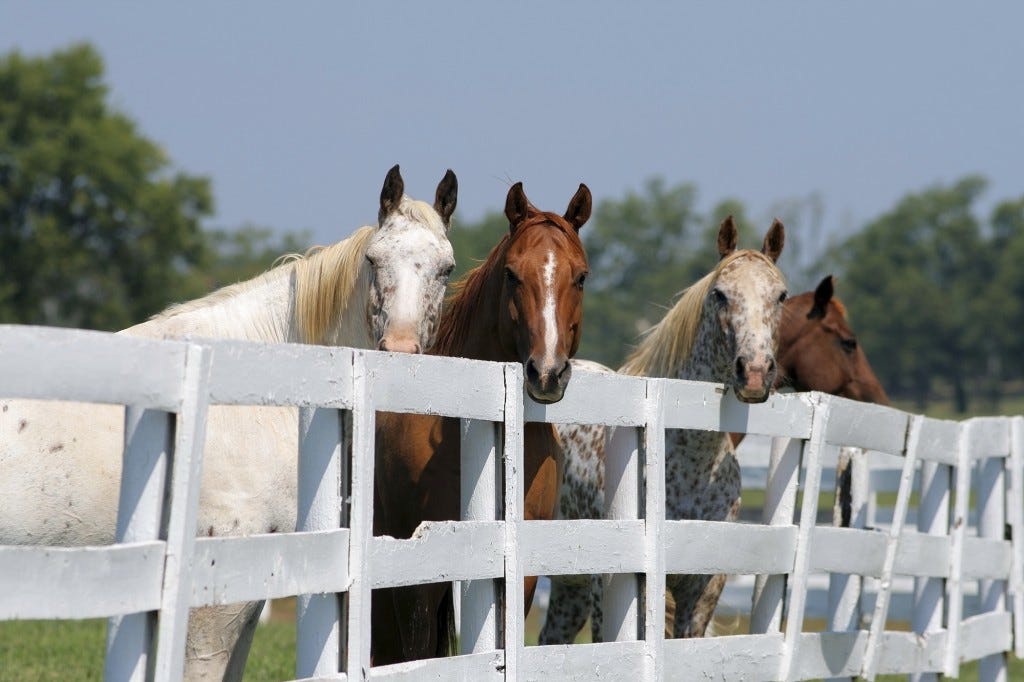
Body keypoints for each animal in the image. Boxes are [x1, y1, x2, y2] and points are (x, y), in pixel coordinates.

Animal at [540, 216, 786, 643]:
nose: (755, 372)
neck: (690, 464)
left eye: (781, 296)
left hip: (570, 590)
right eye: (720, 295)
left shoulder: (703, 587)